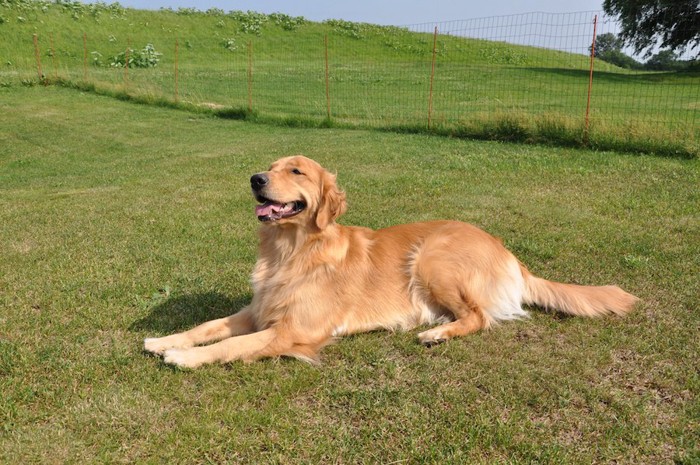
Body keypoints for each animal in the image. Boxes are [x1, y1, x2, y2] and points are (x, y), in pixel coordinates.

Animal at [145, 156, 636, 366]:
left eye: (296, 171)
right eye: (270, 165)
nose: (255, 178)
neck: (292, 250)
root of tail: (507, 250)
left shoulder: (293, 330)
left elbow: (231, 346)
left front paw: (181, 357)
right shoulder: (257, 309)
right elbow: (209, 326)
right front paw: (165, 339)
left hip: (432, 259)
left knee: (480, 317)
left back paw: (437, 333)